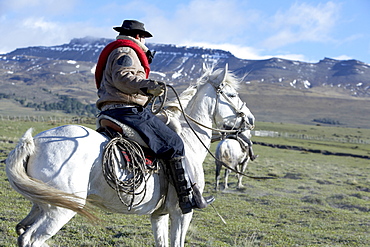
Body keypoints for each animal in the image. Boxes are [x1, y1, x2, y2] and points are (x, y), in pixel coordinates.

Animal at [6, 64, 254, 247]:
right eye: (231, 94)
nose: (250, 120)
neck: (188, 139)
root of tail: (33, 143)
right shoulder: (182, 213)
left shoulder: (159, 214)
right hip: (59, 211)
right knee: (31, 239)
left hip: (43, 204)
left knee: (22, 231)